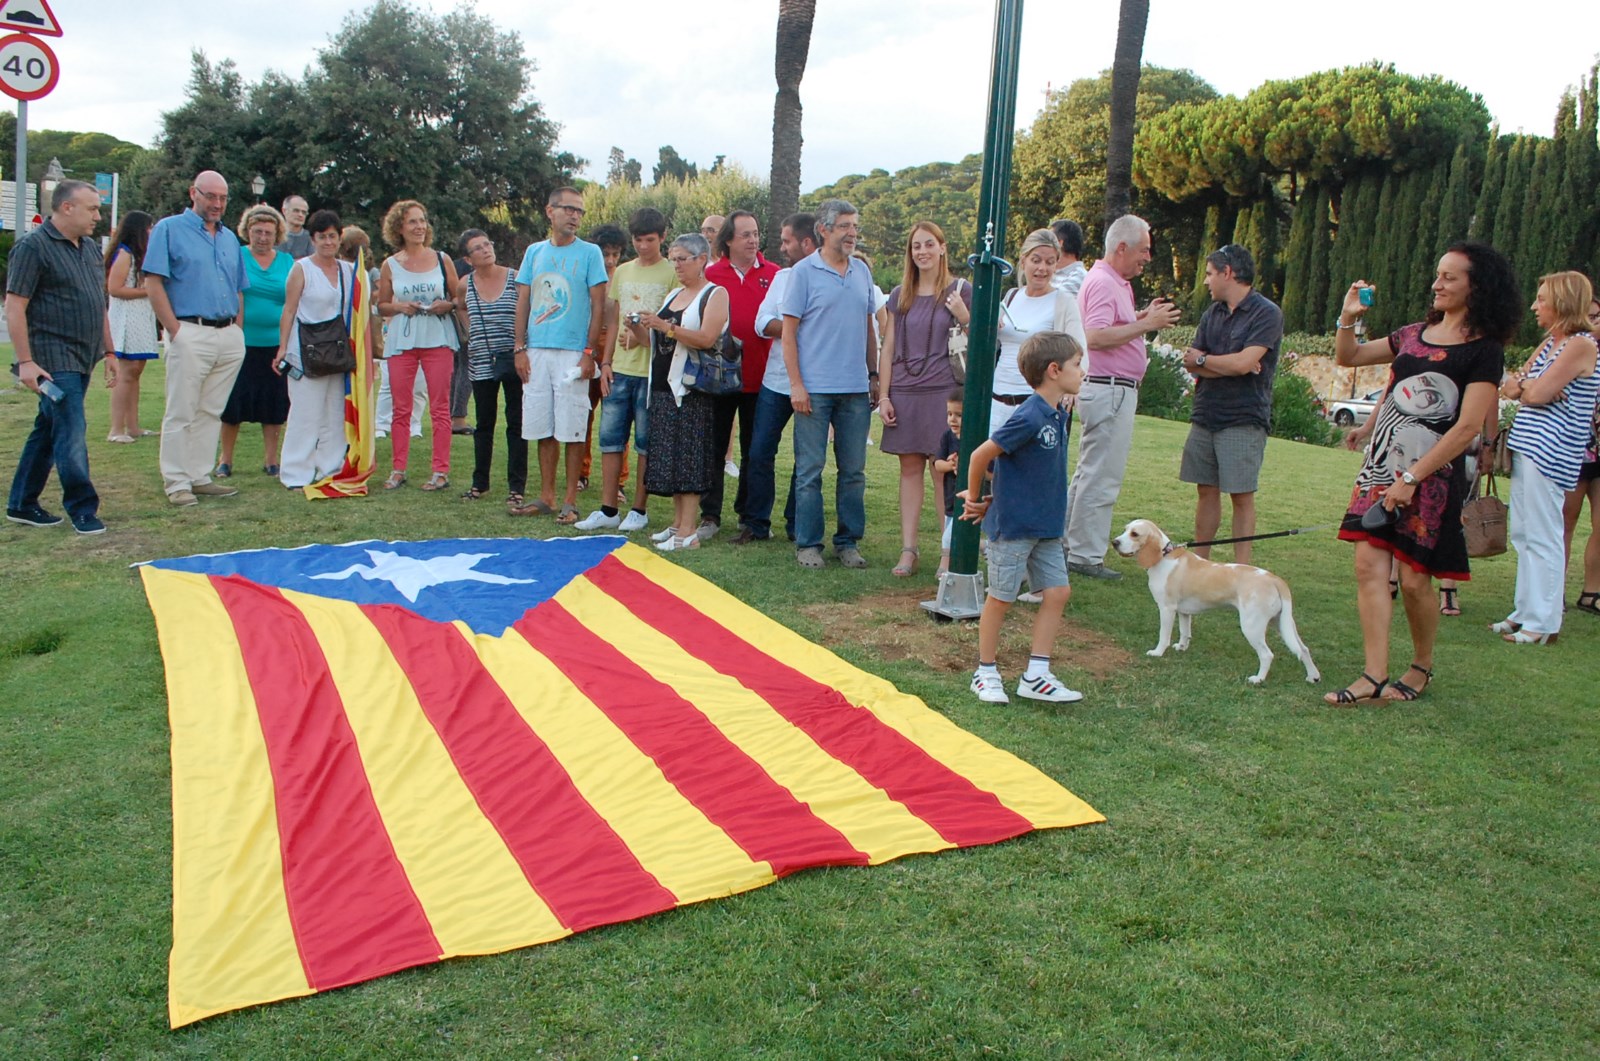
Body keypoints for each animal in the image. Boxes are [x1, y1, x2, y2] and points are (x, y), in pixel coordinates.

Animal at [1113, 518, 1324, 684]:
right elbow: (1185, 632)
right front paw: (1182, 647)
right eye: (1125, 529)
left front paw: (1157, 652)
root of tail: (1274, 579)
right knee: (1304, 649)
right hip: (1282, 623)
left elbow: (1163, 636)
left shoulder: (1167, 609)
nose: (1114, 542)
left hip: (1252, 626)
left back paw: (1258, 679)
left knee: (1267, 654)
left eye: (1134, 534)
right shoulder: (1183, 612)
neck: (1164, 556)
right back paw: (1312, 677)